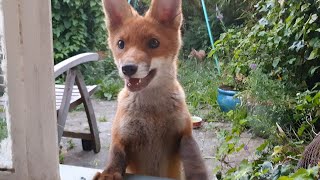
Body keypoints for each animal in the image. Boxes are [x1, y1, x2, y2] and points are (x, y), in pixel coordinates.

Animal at [94, 0, 209, 179]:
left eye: (154, 43)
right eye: (121, 44)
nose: (127, 68)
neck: (152, 114)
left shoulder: (184, 134)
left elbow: (194, 159)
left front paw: (198, 174)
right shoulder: (121, 138)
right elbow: (116, 156)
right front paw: (109, 173)